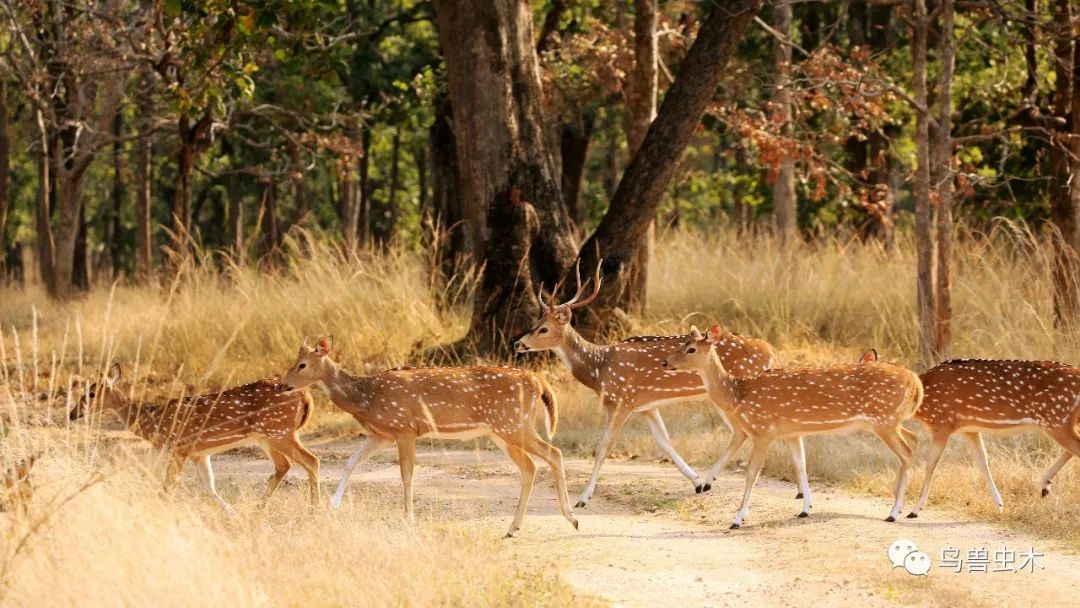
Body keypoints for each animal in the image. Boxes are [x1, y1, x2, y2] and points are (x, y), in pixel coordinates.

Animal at [69, 365, 315, 511]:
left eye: (91, 393)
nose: (72, 413)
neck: (152, 421)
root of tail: (306, 397)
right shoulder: (198, 453)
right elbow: (209, 487)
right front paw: (232, 514)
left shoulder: (179, 446)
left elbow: (169, 485)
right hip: (269, 436)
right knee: (285, 465)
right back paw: (259, 507)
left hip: (277, 431)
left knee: (311, 461)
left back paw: (314, 509)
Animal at [282, 334, 578, 539]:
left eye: (302, 364)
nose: (282, 385)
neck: (367, 398)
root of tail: (539, 382)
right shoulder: (382, 434)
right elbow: (350, 462)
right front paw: (331, 507)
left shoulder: (405, 429)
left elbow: (406, 475)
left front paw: (408, 520)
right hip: (502, 431)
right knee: (530, 467)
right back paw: (512, 528)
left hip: (513, 424)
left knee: (553, 453)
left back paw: (572, 516)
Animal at [514, 261, 812, 514]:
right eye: (536, 322)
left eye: (543, 329)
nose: (518, 343)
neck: (598, 370)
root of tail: (771, 351)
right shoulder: (646, 407)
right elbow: (665, 442)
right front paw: (695, 481)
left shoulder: (621, 400)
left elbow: (603, 447)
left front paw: (583, 499)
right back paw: (790, 492)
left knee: (742, 432)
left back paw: (716, 480)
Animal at [660, 326, 924, 531]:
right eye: (682, 344)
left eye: (691, 349)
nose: (665, 362)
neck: (738, 394)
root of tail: (916, 383)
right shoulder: (791, 432)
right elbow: (801, 465)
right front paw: (806, 508)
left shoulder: (763, 430)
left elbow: (752, 473)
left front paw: (737, 519)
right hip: (890, 422)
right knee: (913, 441)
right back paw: (902, 506)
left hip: (884, 420)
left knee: (907, 454)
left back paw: (894, 512)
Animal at [855, 354, 1080, 520]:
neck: (923, 402)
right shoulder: (968, 429)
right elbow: (982, 461)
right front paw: (999, 505)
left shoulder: (942, 423)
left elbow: (931, 464)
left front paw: (913, 510)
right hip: (1061, 422)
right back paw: (1044, 486)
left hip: (1056, 419)